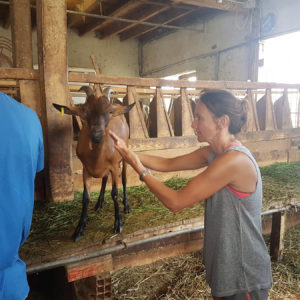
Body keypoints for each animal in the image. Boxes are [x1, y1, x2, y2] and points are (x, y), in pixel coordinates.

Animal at [52, 86, 135, 241]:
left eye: (109, 111)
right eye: (84, 111)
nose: (97, 135)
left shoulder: (113, 166)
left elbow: (114, 193)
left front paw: (118, 223)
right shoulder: (86, 169)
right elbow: (85, 197)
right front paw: (79, 228)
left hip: (124, 156)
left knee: (124, 178)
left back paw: (126, 206)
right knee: (104, 179)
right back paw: (99, 204)